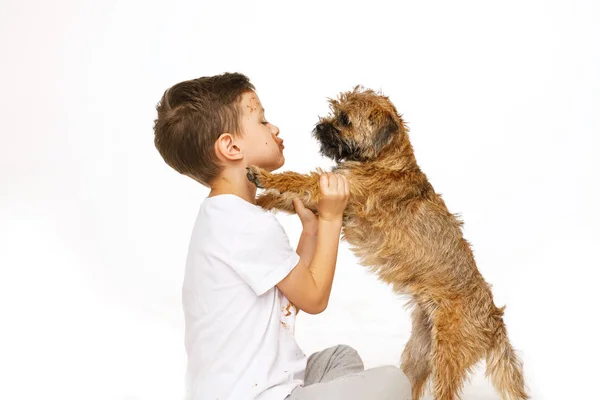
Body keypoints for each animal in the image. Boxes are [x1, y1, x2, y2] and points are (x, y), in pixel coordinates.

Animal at [246, 87, 528, 400]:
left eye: (344, 120)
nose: (319, 126)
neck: (384, 159)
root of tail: (494, 320)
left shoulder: (332, 189)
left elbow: (297, 179)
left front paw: (262, 176)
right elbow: (287, 199)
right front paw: (259, 202)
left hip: (447, 355)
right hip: (418, 354)